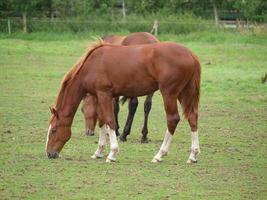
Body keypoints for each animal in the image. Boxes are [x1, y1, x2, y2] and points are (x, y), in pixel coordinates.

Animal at [45, 39, 201, 163]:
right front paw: (99, 152)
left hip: (169, 94)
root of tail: (190, 54)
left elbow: (110, 121)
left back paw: (160, 155)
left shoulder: (104, 94)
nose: (49, 154)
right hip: (183, 93)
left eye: (54, 130)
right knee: (192, 118)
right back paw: (193, 155)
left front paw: (112, 153)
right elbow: (102, 121)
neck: (92, 65)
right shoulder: (99, 96)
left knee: (172, 119)